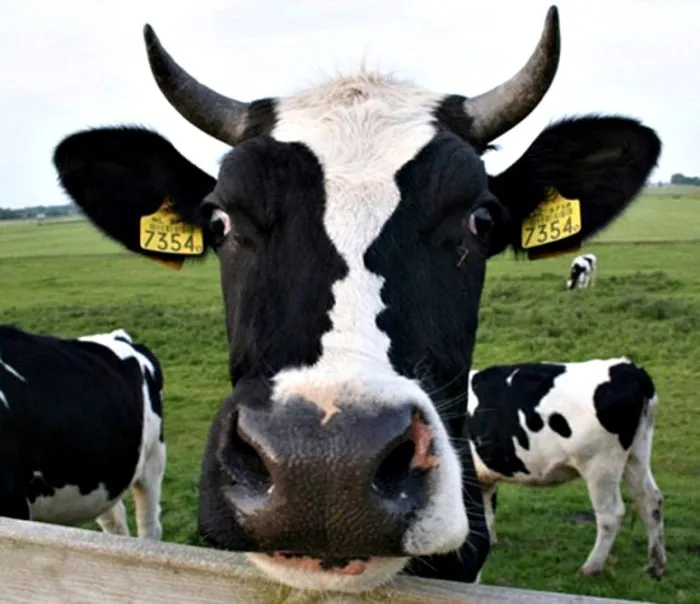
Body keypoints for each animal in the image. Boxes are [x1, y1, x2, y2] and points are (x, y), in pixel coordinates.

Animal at [466, 358, 666, 579]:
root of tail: (628, 367)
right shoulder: (483, 476)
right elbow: (486, 509)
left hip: (600, 464)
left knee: (611, 513)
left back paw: (591, 567)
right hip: (637, 453)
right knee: (649, 500)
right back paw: (656, 565)